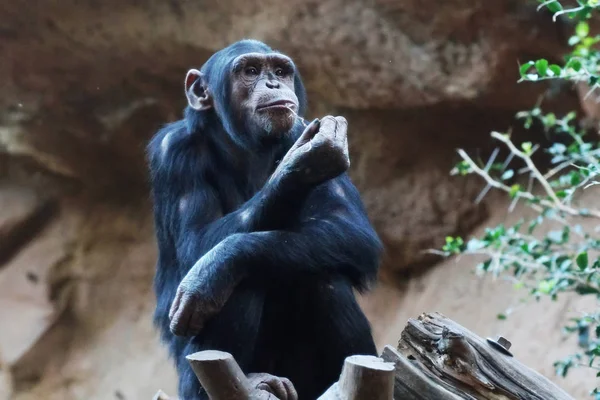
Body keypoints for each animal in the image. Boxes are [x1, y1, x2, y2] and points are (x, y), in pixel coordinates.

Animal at [149, 38, 384, 400]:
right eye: (250, 71)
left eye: (280, 71)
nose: (273, 84)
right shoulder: (173, 153)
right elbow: (196, 246)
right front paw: (298, 164)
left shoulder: (299, 126)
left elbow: (351, 230)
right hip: (189, 384)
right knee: (235, 282)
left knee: (322, 276)